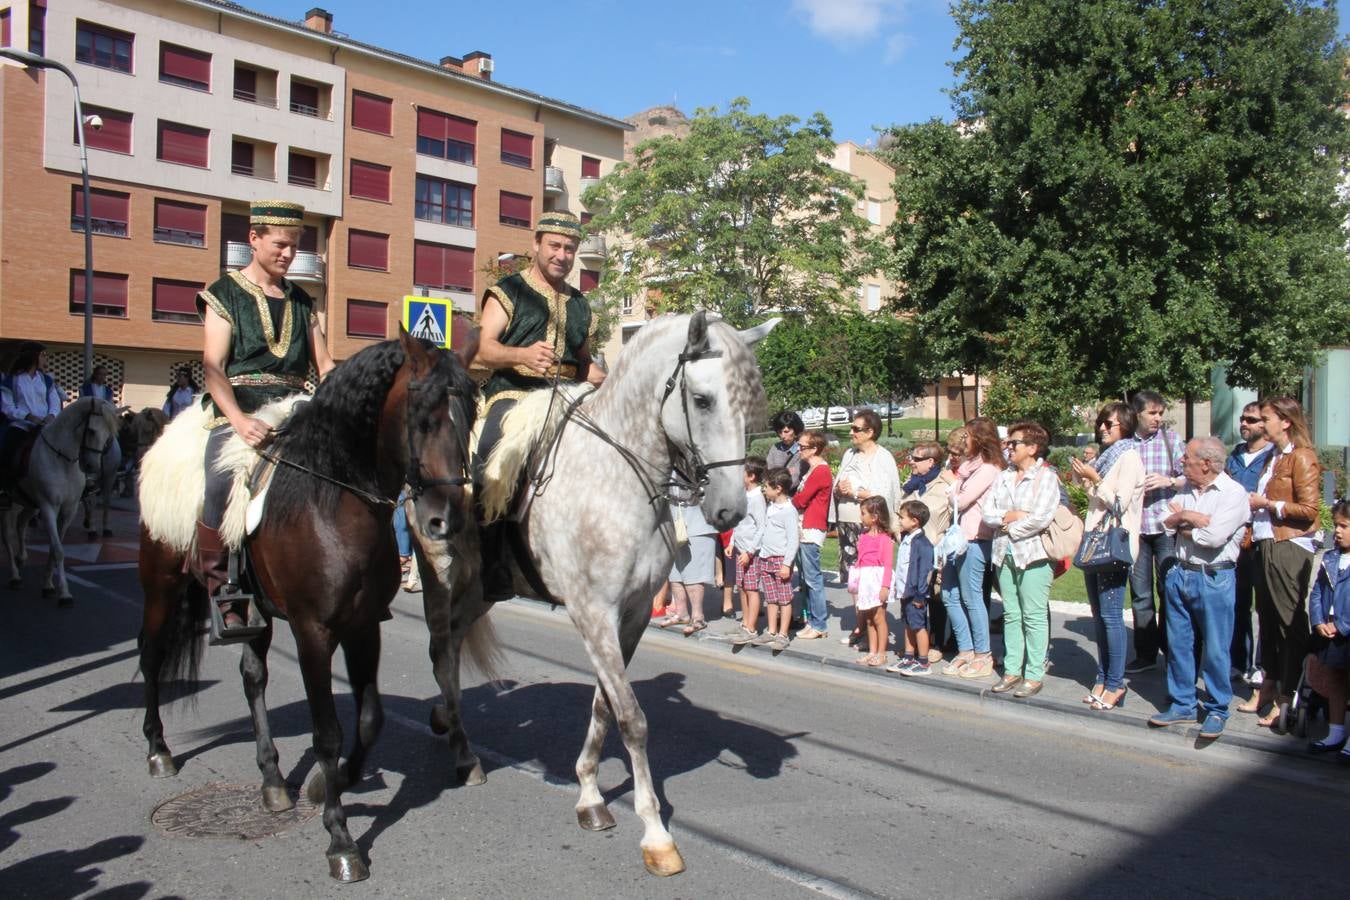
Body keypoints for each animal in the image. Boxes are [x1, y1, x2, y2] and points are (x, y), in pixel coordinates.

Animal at [1, 399, 118, 604]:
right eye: (92, 431)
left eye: (108, 436)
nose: (93, 467)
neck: (63, 460)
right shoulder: (48, 507)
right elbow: (58, 551)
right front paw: (64, 593)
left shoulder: (68, 510)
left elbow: (54, 548)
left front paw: (48, 585)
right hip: (9, 504)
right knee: (7, 536)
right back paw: (15, 576)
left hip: (30, 504)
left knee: (21, 523)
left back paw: (21, 557)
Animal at [139, 329, 477, 879]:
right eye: (422, 415)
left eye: (469, 413)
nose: (444, 520)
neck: (332, 499)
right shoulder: (313, 633)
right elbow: (327, 733)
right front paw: (341, 839)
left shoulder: (363, 626)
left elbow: (370, 719)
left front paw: (329, 783)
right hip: (161, 581)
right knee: (151, 656)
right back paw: (158, 749)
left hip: (253, 614)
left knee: (253, 677)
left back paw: (274, 781)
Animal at [418, 313, 783, 874]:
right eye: (702, 400)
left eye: (750, 404)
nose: (730, 511)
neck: (617, 482)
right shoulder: (593, 613)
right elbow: (633, 719)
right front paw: (655, 833)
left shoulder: (629, 616)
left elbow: (605, 706)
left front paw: (589, 794)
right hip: (441, 580)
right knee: (440, 652)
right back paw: (464, 755)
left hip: (482, 590)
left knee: (453, 650)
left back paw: (448, 721)